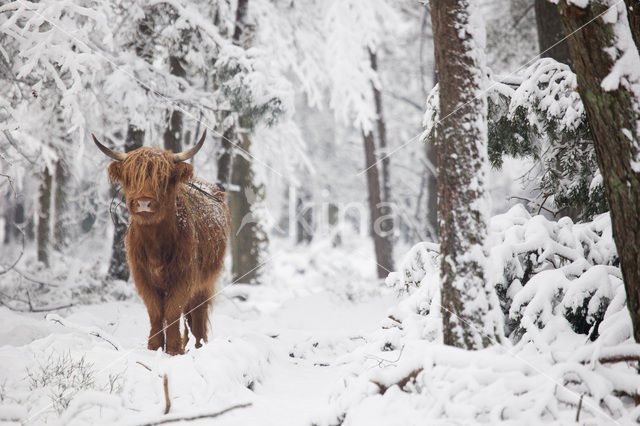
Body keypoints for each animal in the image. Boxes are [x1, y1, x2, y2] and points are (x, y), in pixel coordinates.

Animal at [92, 131, 228, 356]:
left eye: (162, 178)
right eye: (131, 177)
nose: (143, 203)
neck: (155, 243)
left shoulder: (184, 277)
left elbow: (172, 311)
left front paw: (173, 349)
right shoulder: (142, 277)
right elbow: (155, 311)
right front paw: (154, 347)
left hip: (205, 282)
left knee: (198, 315)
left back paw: (198, 346)